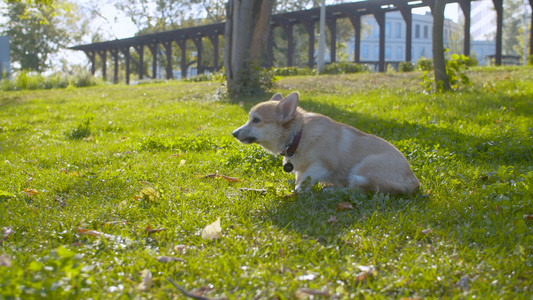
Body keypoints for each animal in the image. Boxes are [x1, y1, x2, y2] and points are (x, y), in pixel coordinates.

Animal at [233, 92, 420, 195]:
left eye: (256, 120)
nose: (233, 133)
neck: (298, 136)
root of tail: (414, 182)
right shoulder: (300, 169)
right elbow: (300, 178)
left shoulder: (322, 165)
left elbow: (303, 183)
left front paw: (294, 193)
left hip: (363, 167)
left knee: (356, 190)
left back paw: (331, 190)